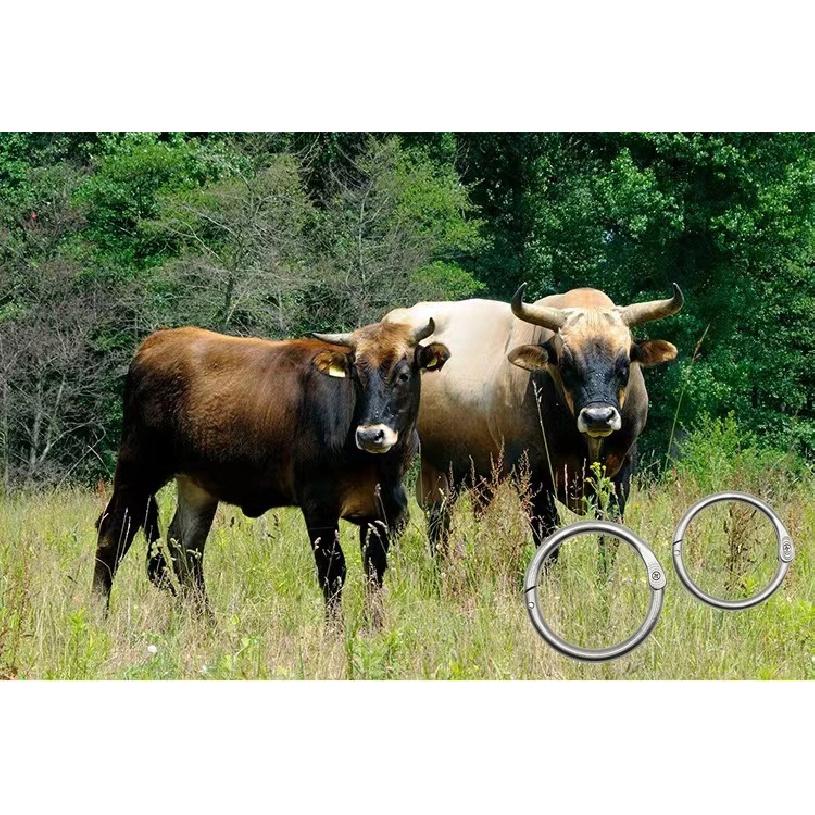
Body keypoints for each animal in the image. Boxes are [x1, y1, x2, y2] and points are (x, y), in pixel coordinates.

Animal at [91, 319, 450, 621]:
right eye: (357, 377)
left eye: (403, 375)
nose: (370, 434)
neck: (375, 465)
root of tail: (156, 342)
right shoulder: (319, 508)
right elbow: (333, 575)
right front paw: (336, 634)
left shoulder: (380, 514)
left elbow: (374, 573)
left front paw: (373, 628)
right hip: (137, 469)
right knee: (113, 534)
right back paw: (99, 616)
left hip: (197, 484)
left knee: (185, 544)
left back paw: (205, 622)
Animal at [383, 284, 682, 561]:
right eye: (565, 365)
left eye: (624, 362)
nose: (598, 417)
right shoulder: (532, 477)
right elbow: (548, 536)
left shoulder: (621, 472)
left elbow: (609, 535)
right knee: (435, 520)